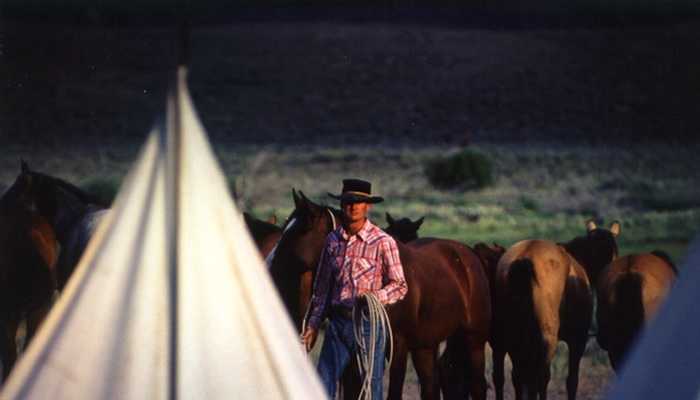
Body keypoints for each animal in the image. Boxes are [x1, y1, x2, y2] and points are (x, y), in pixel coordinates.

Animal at [266, 189, 491, 400]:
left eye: (293, 234)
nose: (267, 264)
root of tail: (468, 255)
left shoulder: (398, 347)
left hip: (474, 341)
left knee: (477, 386)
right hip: (425, 347)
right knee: (431, 386)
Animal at [491, 219, 620, 400]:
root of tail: (524, 258)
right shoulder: (578, 339)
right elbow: (571, 381)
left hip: (512, 338)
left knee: (519, 376)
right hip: (547, 340)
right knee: (542, 377)